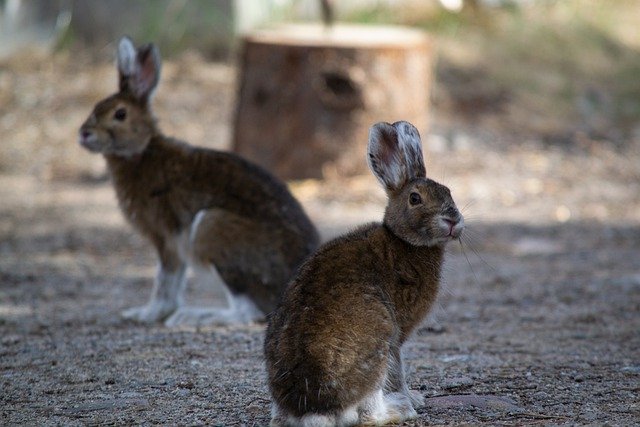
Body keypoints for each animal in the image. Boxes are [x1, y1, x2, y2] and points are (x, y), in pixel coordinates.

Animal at [79, 38, 318, 328]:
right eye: (96, 106)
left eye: (120, 114)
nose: (84, 134)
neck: (143, 150)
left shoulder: (166, 237)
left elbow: (165, 279)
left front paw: (149, 314)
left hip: (211, 231)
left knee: (247, 312)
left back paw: (194, 316)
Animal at [262, 121, 462, 427]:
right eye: (415, 198)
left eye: (449, 192)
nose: (453, 221)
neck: (402, 240)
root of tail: (314, 409)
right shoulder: (397, 335)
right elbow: (398, 371)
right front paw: (412, 397)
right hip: (379, 338)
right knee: (369, 414)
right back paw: (400, 408)